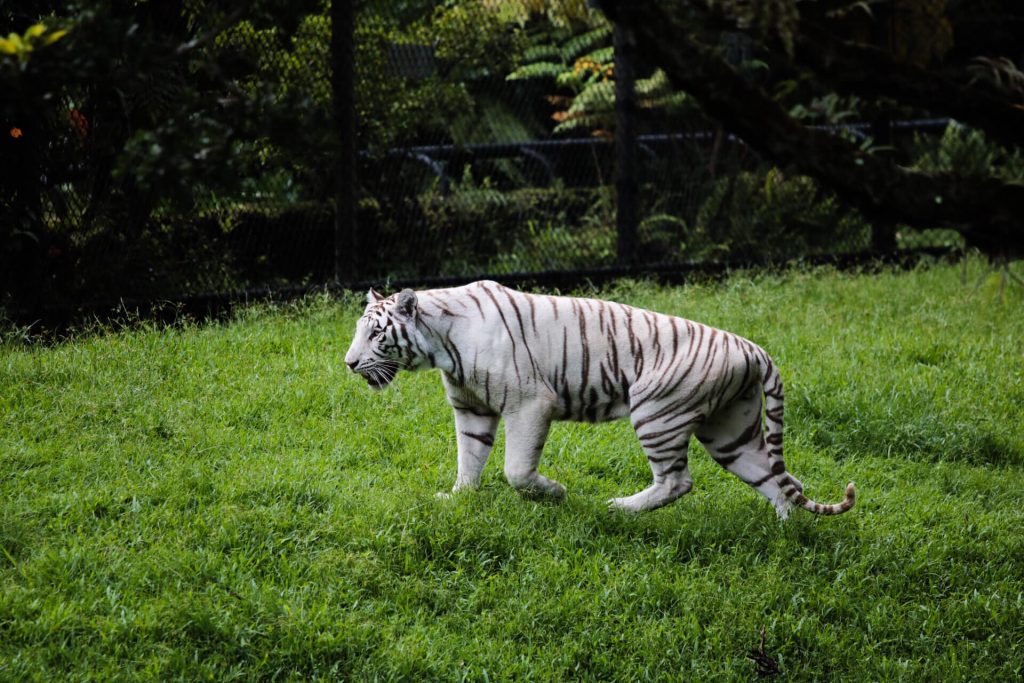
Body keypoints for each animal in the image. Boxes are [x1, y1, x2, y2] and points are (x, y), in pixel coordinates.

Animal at [344, 280, 856, 516]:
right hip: (729, 431)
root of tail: (755, 349)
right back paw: (783, 533)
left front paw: (554, 493)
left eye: (376, 335)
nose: (349, 363)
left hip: (656, 412)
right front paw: (457, 498)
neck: (440, 343)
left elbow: (516, 470)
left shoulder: (530, 403)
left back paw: (621, 508)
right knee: (779, 481)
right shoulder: (472, 408)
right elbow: (468, 459)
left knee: (677, 482)